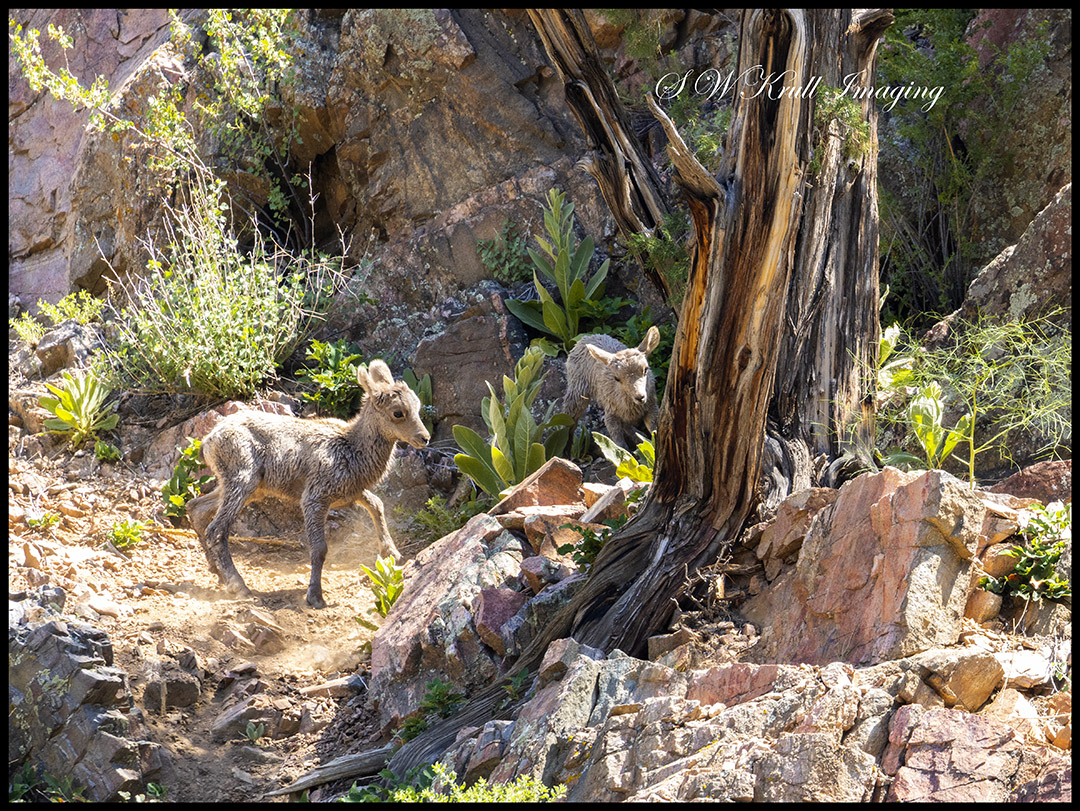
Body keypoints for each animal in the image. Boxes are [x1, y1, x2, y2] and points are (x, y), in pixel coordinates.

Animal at [188, 360, 429, 609]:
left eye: (417, 406)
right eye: (398, 412)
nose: (425, 438)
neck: (351, 446)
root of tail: (208, 442)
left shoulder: (351, 493)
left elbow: (377, 504)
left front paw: (392, 553)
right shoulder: (315, 497)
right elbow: (319, 548)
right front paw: (315, 597)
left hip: (246, 488)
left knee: (196, 508)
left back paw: (217, 573)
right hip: (242, 481)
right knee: (216, 530)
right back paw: (238, 585)